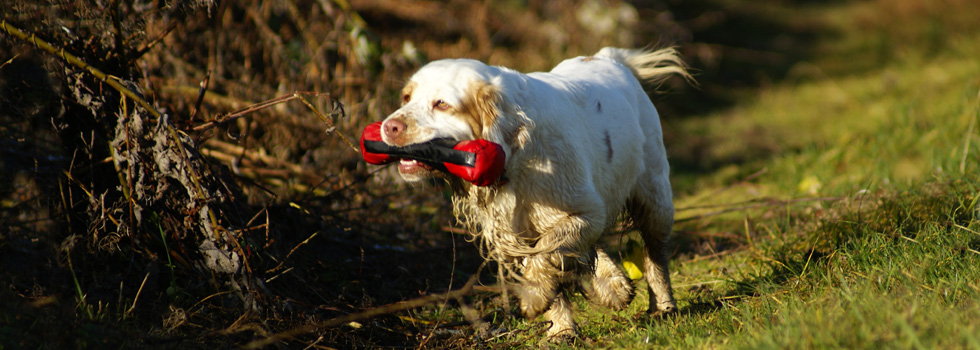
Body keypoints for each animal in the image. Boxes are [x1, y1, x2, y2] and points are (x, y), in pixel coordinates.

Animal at [378, 47, 692, 340]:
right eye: (406, 98)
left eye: (441, 103)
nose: (389, 127)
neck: (516, 155)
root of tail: (607, 57)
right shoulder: (518, 232)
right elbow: (551, 263)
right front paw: (561, 329)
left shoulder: (584, 212)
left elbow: (548, 252)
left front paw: (533, 297)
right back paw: (614, 287)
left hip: (655, 202)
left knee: (655, 255)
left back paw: (663, 306)